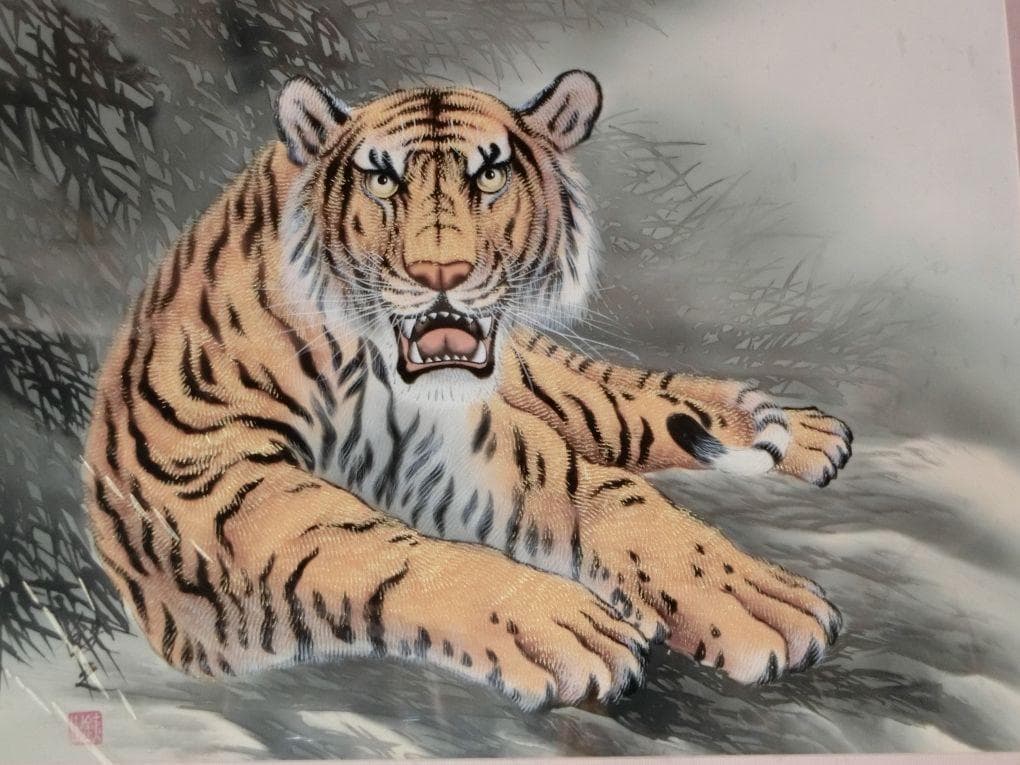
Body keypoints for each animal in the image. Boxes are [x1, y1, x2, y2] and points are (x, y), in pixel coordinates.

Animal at [83, 70, 852, 709]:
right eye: (382, 180)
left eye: (490, 175)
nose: (441, 273)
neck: (371, 369)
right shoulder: (204, 466)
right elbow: (361, 540)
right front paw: (563, 625)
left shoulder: (466, 441)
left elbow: (608, 493)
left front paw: (754, 598)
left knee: (636, 407)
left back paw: (809, 434)